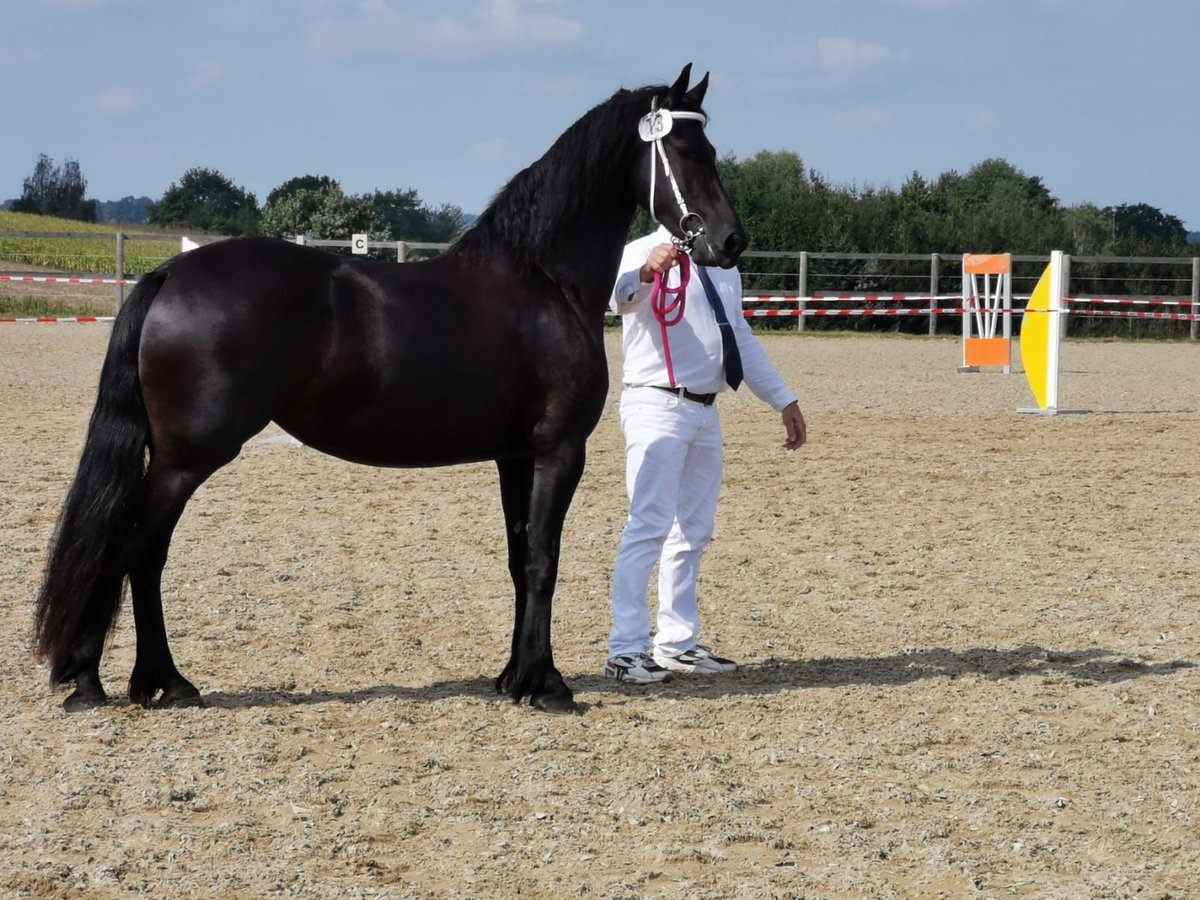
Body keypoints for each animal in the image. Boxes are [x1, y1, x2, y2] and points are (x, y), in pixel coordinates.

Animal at [33, 64, 746, 715]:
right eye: (689, 152)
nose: (731, 240)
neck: (542, 280)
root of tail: (170, 273)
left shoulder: (515, 455)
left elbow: (520, 558)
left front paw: (514, 679)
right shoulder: (558, 450)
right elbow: (545, 559)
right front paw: (548, 687)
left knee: (140, 553)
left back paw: (151, 682)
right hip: (188, 458)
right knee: (132, 550)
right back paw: (107, 682)